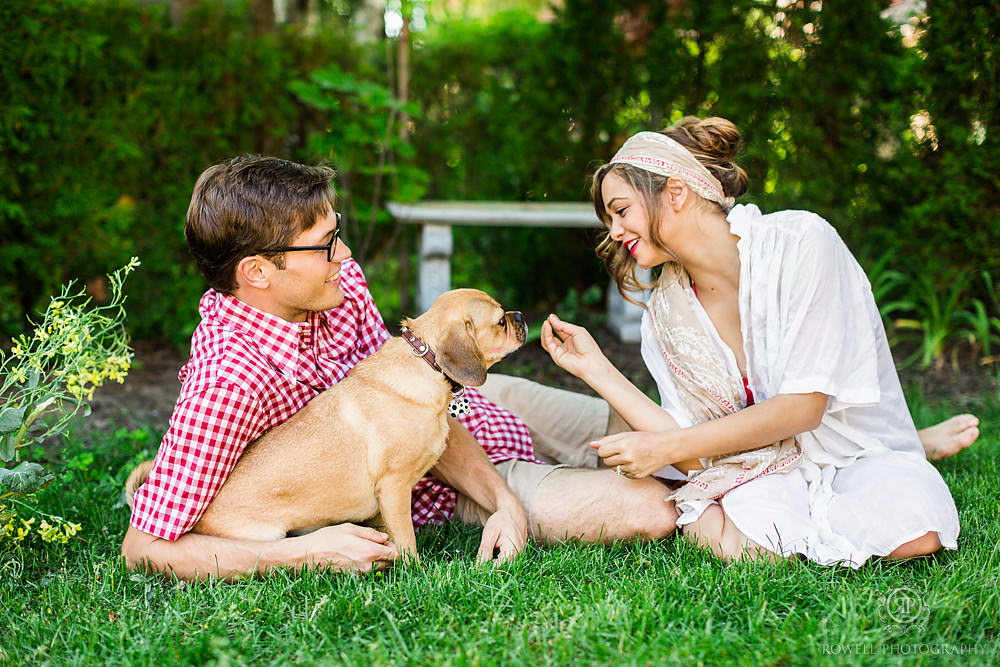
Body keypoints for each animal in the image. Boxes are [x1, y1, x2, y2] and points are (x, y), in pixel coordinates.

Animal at [127, 290, 524, 560]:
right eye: (500, 322)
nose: (520, 315)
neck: (424, 362)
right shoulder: (395, 488)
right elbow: (407, 539)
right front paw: (414, 570)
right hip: (268, 537)